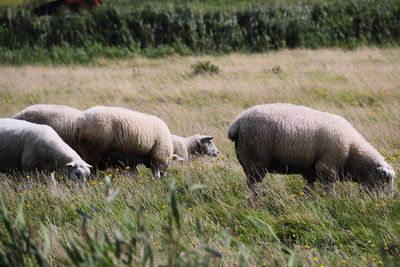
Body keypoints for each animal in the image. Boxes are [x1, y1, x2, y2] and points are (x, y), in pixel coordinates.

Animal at [230, 103, 396, 195]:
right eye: (385, 180)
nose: (388, 201)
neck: (352, 151)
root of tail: (237, 122)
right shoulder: (327, 167)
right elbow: (329, 189)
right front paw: (332, 201)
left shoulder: (311, 171)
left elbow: (308, 188)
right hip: (256, 160)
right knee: (252, 185)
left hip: (246, 159)